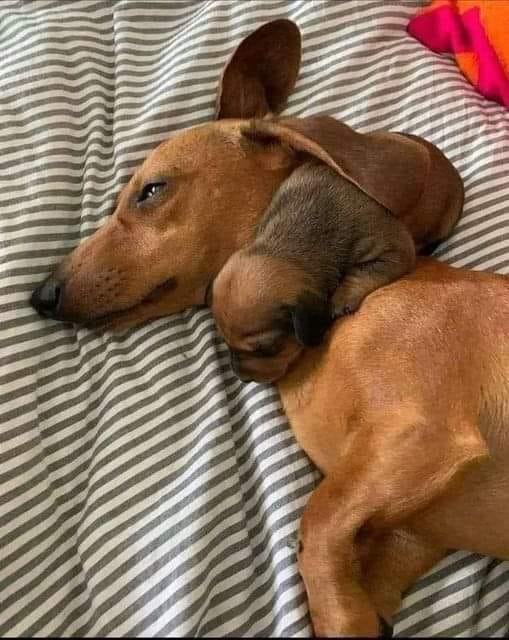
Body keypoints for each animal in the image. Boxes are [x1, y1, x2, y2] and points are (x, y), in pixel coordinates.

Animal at [208, 161, 414, 380]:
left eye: (267, 349)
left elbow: (366, 271)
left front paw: (343, 297)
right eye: (225, 340)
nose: (242, 378)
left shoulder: (395, 250)